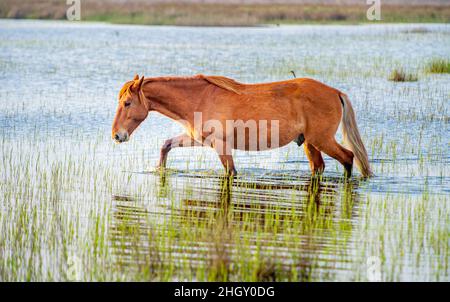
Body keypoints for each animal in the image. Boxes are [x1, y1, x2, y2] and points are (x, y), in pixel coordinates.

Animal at [110, 75, 370, 177]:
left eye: (127, 102)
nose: (117, 136)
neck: (200, 98)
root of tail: (335, 92)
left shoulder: (221, 146)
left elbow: (230, 172)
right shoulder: (198, 139)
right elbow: (166, 145)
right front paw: (161, 170)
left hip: (322, 140)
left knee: (348, 158)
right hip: (310, 144)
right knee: (319, 167)